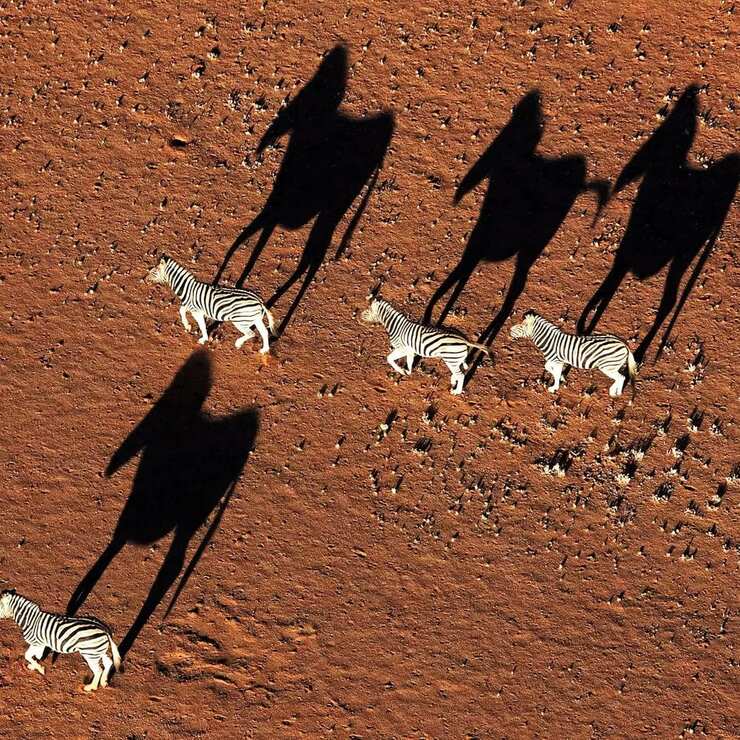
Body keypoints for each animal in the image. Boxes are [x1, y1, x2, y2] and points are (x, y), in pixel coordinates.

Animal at [147, 256, 278, 354]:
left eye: (154, 272)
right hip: (256, 319)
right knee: (264, 332)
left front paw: (203, 339)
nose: (145, 279)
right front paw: (187, 326)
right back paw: (264, 350)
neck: (187, 289)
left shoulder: (197, 311)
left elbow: (202, 325)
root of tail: (259, 301)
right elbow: (181, 310)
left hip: (241, 321)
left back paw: (238, 343)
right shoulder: (190, 306)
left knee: (251, 333)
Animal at [360, 294, 492, 394]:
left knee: (461, 375)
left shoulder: (402, 348)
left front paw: (401, 371)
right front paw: (407, 372)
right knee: (460, 370)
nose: (360, 318)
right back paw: (453, 381)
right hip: (456, 359)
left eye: (369, 310)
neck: (395, 326)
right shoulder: (410, 350)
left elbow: (390, 358)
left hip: (451, 359)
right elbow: (409, 362)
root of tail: (464, 340)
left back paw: (456, 391)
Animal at [508, 310, 636, 396]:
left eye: (523, 326)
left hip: (608, 367)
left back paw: (614, 393)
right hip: (612, 366)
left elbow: (554, 371)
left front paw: (554, 387)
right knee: (622, 377)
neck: (549, 341)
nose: (509, 330)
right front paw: (561, 378)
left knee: (621, 377)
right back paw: (616, 391)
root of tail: (623, 344)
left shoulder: (557, 361)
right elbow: (549, 368)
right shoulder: (555, 361)